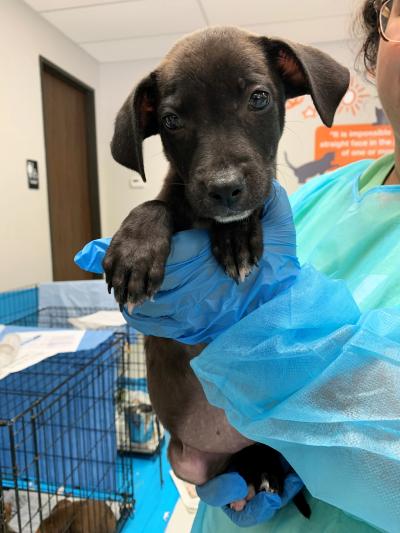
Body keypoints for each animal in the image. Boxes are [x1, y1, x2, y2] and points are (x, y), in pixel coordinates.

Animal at [103, 28, 350, 486]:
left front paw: (236, 236)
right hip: (188, 466)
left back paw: (268, 469)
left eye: (258, 98)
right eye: (171, 121)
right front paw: (134, 251)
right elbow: (157, 203)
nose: (224, 188)